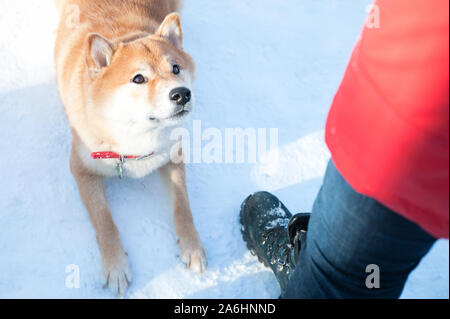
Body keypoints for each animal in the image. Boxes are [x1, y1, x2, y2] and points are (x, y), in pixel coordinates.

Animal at [53, 0, 207, 298]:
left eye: (176, 69)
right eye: (138, 79)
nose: (181, 94)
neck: (136, 137)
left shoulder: (172, 155)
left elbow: (182, 205)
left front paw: (192, 245)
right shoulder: (82, 169)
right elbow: (105, 221)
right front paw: (116, 265)